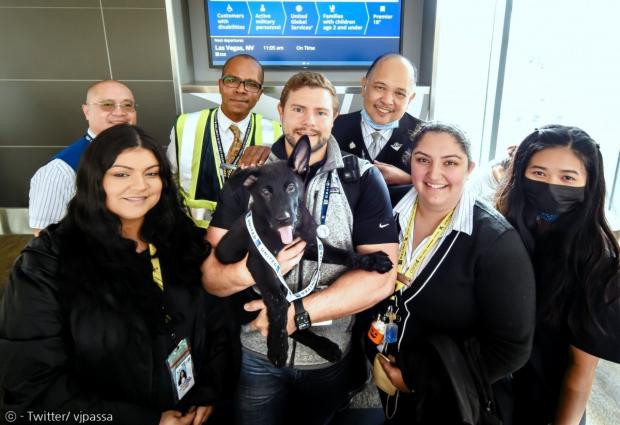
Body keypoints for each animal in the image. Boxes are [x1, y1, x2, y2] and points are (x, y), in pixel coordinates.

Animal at [216, 137, 392, 368]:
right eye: (265, 192)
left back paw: (325, 347)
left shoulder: (307, 246)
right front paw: (278, 346)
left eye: (291, 187)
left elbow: (343, 253)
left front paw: (373, 260)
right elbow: (278, 302)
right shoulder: (258, 262)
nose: (284, 219)